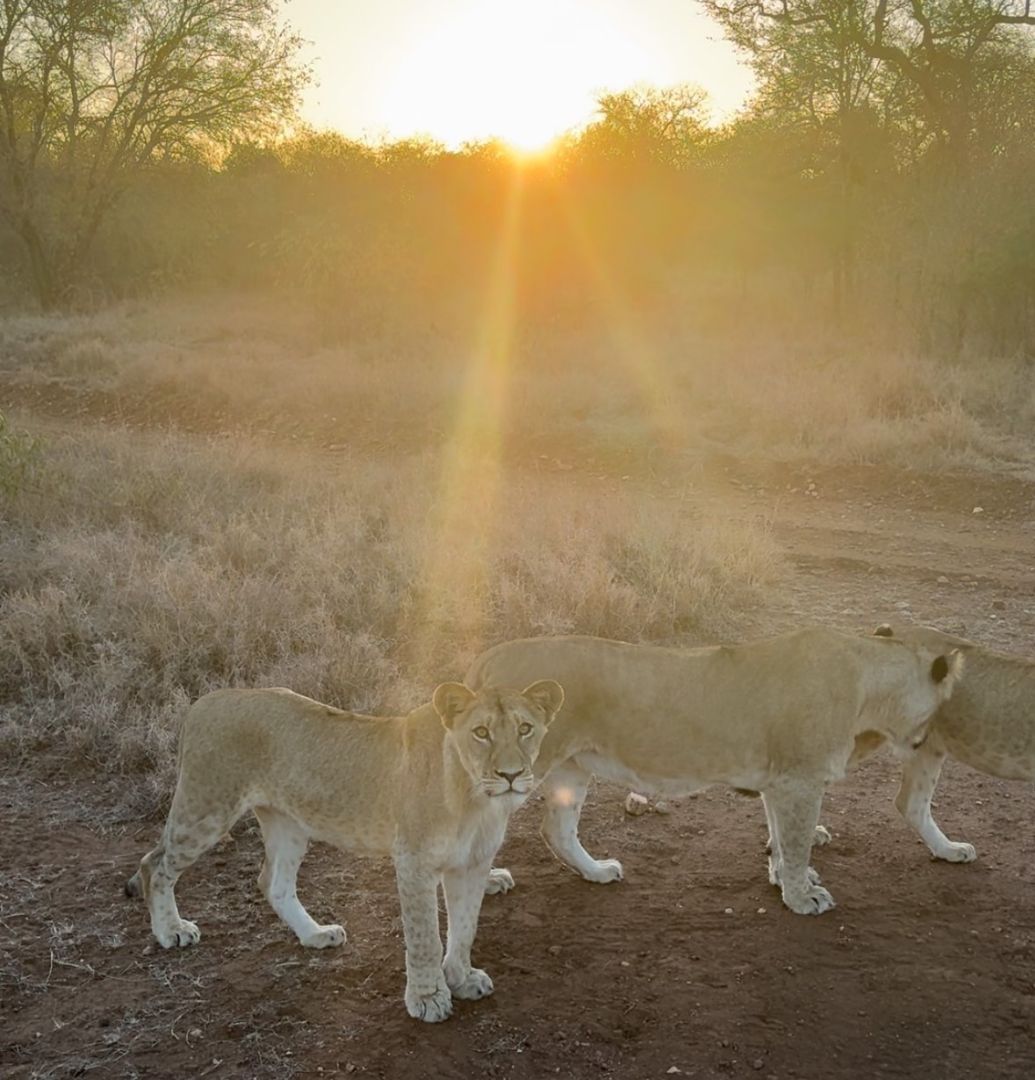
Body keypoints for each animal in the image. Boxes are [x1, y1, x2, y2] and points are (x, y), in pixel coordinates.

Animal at [129, 678, 570, 1023]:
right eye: (480, 732)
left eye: (526, 728)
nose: (511, 775)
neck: (475, 797)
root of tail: (204, 702)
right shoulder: (413, 861)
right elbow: (425, 935)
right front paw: (428, 998)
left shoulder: (472, 864)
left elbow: (465, 927)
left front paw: (461, 978)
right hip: (206, 810)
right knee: (155, 864)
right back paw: (171, 931)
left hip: (287, 823)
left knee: (273, 883)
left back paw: (316, 935)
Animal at [464, 630, 963, 915]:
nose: (932, 743)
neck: (868, 685)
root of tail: (489, 657)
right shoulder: (800, 780)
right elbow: (798, 842)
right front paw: (802, 898)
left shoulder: (780, 781)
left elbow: (782, 838)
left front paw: (783, 879)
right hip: (513, 770)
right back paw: (486, 883)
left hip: (572, 766)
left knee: (557, 829)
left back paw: (597, 871)